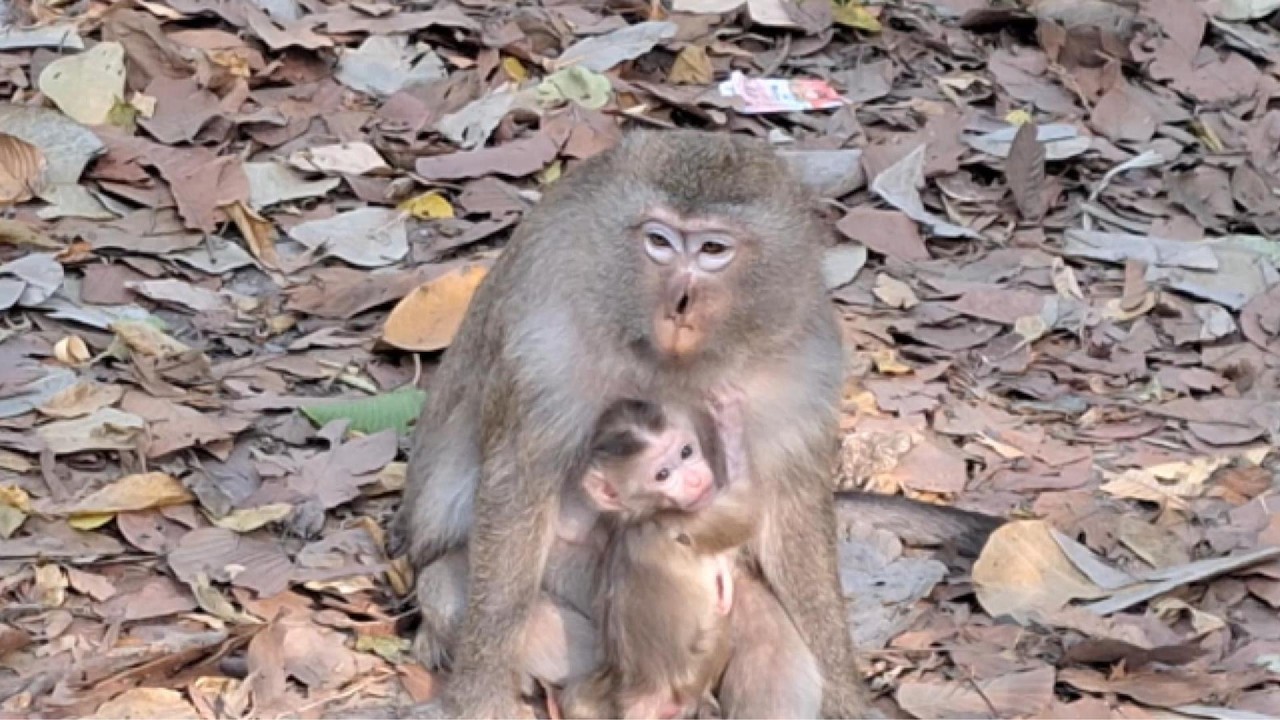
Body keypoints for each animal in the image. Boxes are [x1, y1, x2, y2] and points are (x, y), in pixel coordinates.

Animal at [389, 128, 1001, 718]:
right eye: (659, 243)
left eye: (712, 250)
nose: (680, 302)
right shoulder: (544, 339)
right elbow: (519, 484)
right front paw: (477, 699)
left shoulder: (803, 360)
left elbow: (792, 513)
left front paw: (846, 698)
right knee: (458, 592)